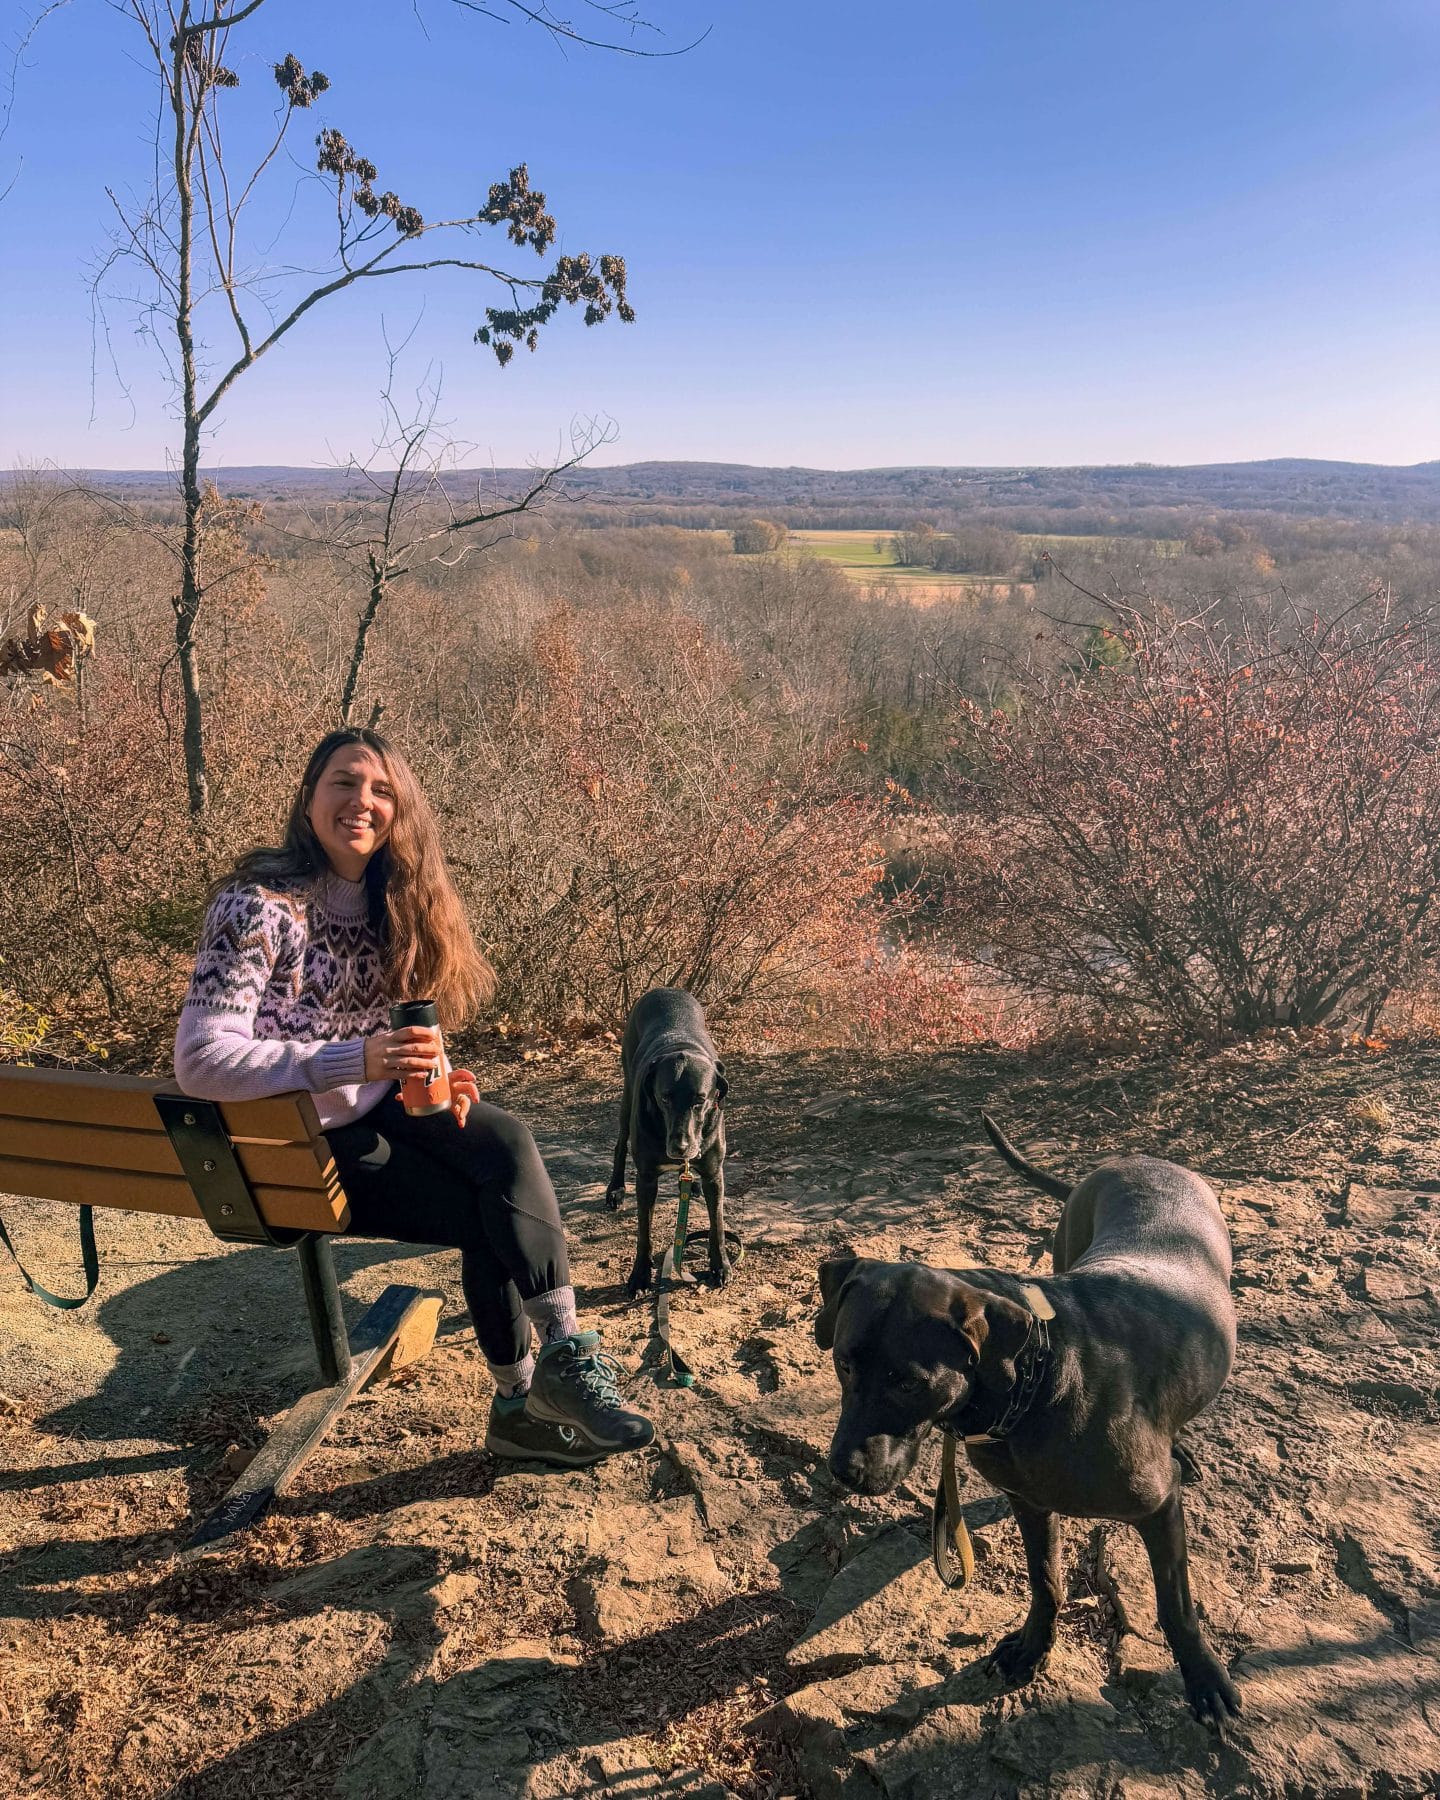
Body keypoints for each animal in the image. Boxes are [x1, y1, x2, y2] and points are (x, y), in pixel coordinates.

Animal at [604, 986, 730, 1296]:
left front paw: (720, 1266)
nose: (679, 1149)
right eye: (664, 1098)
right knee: (620, 1144)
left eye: (700, 1100)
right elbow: (644, 1232)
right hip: (627, 1095)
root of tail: (664, 988)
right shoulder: (647, 1178)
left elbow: (717, 1224)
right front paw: (640, 1276)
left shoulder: (714, 1174)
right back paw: (615, 1190)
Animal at [817, 1108, 1245, 1728]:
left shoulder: (1158, 1506)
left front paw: (1204, 1677)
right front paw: (1032, 1646)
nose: (842, 1471)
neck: (1037, 1387)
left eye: (909, 1382)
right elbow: (1045, 1582)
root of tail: (1132, 1160)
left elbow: (1175, 1606)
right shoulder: (1029, 1501)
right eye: (844, 1362)